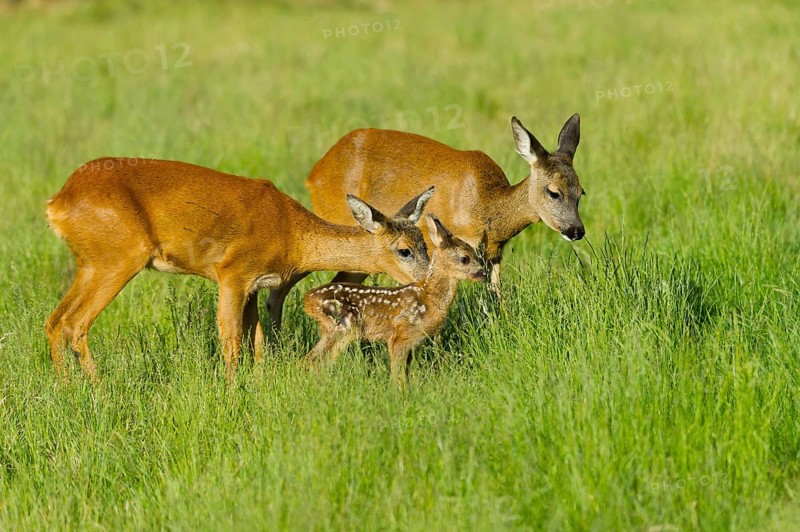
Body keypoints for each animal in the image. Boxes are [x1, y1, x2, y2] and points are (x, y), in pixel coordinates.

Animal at [45, 157, 434, 382]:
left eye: (425, 244)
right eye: (404, 250)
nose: (429, 281)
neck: (293, 235)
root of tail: (57, 203)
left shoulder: (254, 285)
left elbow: (256, 340)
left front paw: (258, 385)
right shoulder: (232, 273)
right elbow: (231, 340)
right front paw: (232, 394)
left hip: (90, 263)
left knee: (54, 320)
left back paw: (67, 387)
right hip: (119, 259)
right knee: (75, 323)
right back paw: (97, 390)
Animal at [301, 114, 586, 300]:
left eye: (581, 192)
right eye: (553, 192)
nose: (576, 230)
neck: (488, 207)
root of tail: (313, 175)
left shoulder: (494, 255)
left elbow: (498, 298)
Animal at [303, 214, 485, 386]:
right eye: (465, 258)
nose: (483, 273)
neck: (428, 298)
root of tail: (308, 299)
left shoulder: (413, 342)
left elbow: (406, 372)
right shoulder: (400, 335)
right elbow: (397, 374)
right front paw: (399, 392)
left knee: (309, 360)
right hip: (343, 328)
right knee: (319, 362)